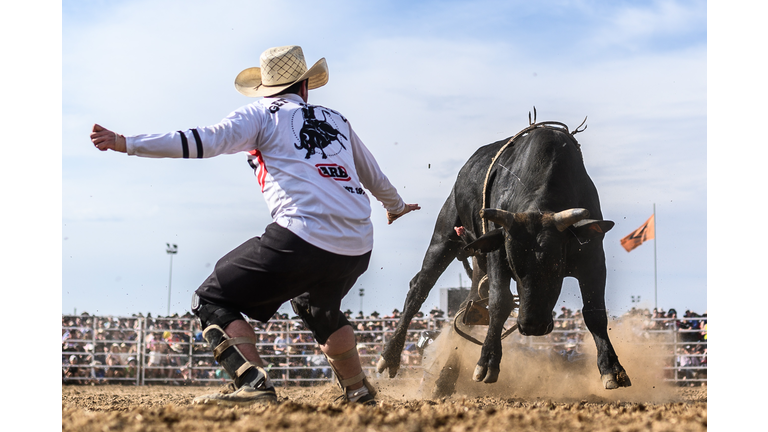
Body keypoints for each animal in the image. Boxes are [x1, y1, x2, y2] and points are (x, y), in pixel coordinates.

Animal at [376, 125, 632, 392]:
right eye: (515, 266)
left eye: (555, 265)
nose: (532, 326)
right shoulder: (498, 253)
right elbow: (501, 303)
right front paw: (487, 361)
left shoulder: (593, 259)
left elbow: (595, 312)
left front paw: (611, 368)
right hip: (444, 236)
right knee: (419, 290)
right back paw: (390, 356)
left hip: (478, 262)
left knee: (466, 310)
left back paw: (445, 380)